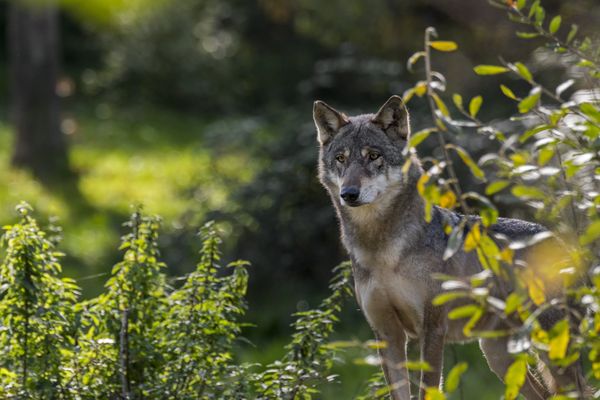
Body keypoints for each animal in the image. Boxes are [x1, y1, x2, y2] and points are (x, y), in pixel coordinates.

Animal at [314, 97, 584, 400]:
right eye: (341, 159)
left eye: (373, 156)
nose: (348, 194)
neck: (382, 251)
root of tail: (559, 241)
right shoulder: (387, 335)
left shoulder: (432, 330)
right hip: (499, 359)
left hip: (553, 353)